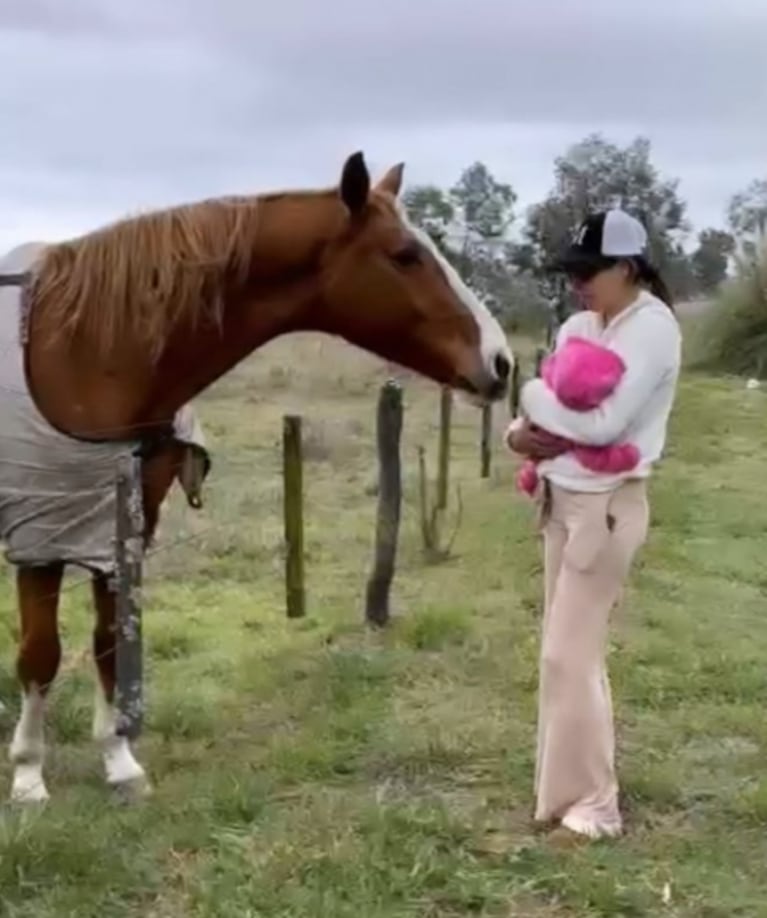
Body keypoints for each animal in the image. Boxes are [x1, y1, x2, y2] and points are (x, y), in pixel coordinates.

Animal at [3, 151, 516, 804]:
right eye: (405, 254)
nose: (501, 363)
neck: (80, 352)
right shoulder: (41, 536)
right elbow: (40, 654)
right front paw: (28, 776)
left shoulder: (119, 529)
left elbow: (109, 643)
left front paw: (118, 760)